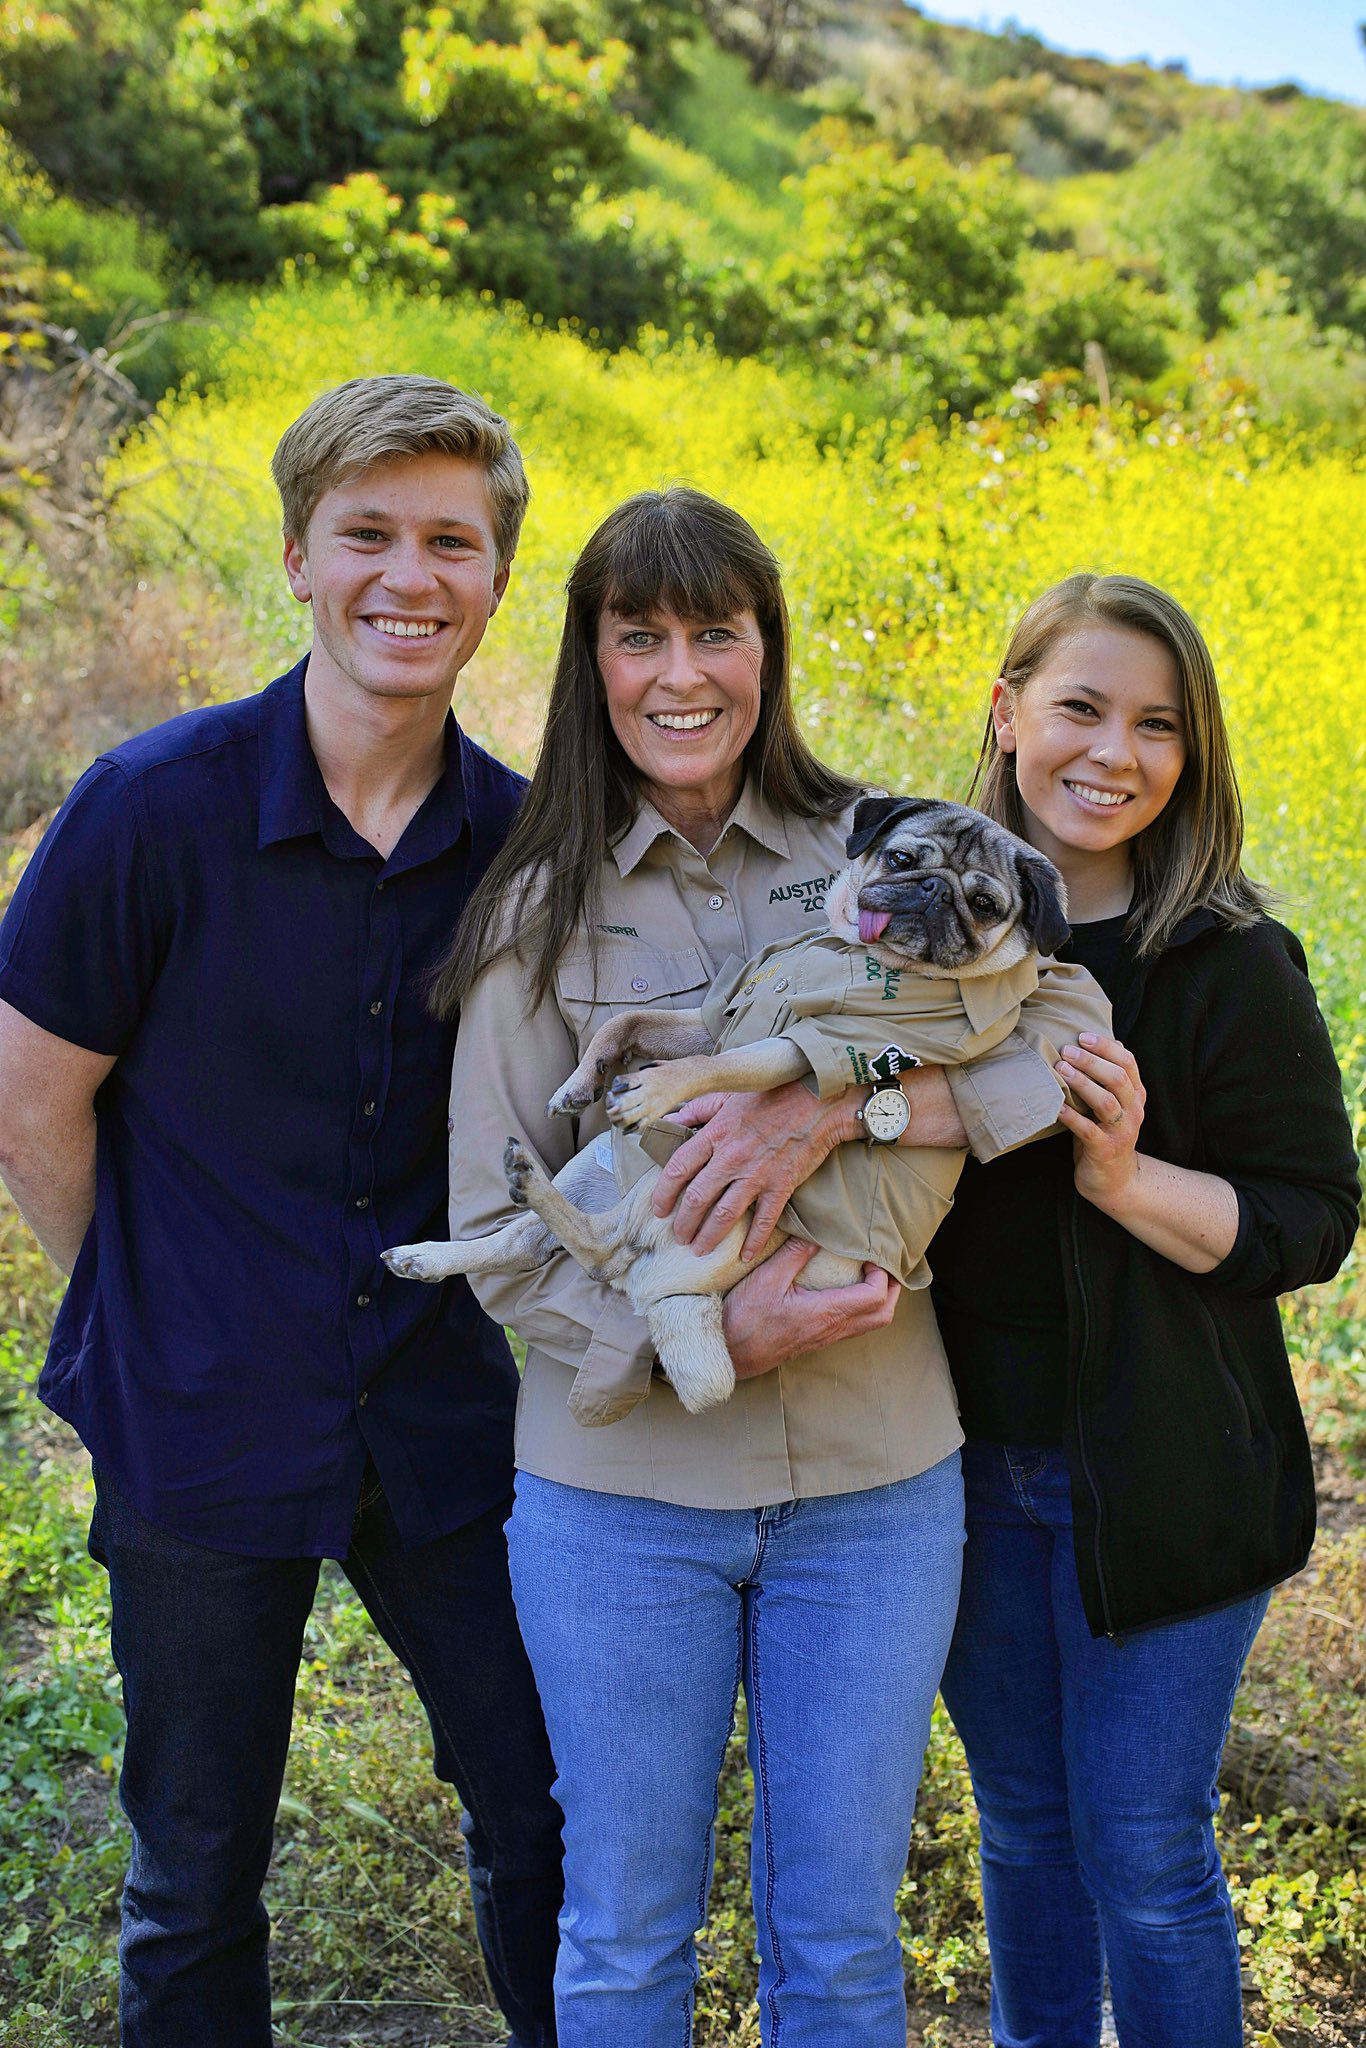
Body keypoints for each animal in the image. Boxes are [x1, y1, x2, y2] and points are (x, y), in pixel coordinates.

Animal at [382, 790, 1064, 1417]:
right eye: (901, 859)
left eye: (983, 905)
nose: (932, 892)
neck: (855, 952)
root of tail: (671, 1296)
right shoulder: (716, 1014)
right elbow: (631, 1023)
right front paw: (582, 1080)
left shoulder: (804, 1044)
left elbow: (717, 1066)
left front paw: (653, 1089)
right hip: (595, 1168)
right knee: (524, 1242)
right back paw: (426, 1256)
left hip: (685, 1195)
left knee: (601, 1251)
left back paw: (530, 1179)